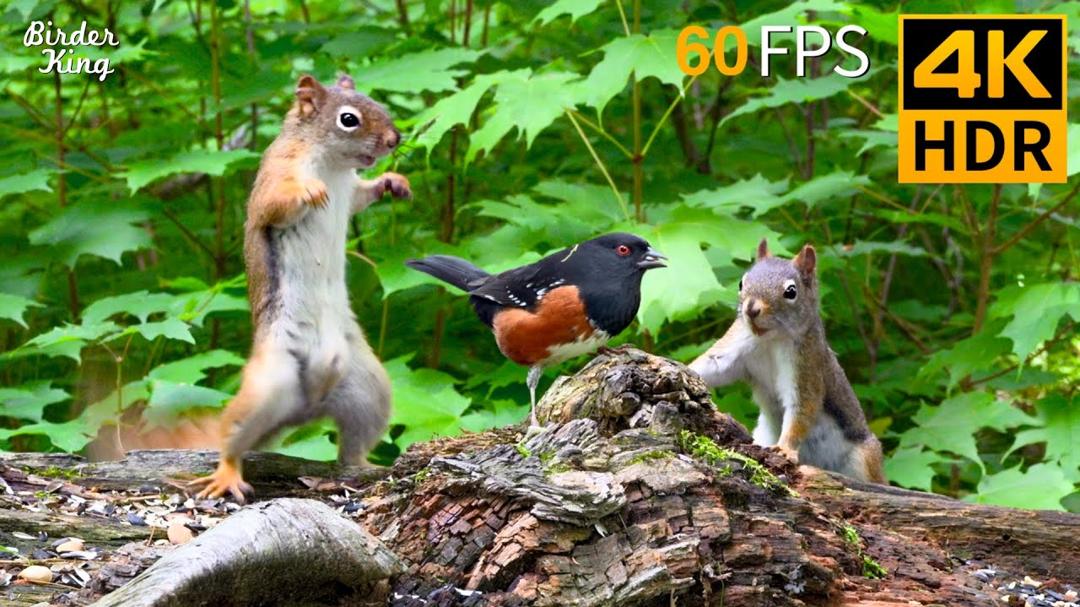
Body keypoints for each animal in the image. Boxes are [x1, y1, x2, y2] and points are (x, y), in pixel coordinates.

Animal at [188, 74, 411, 502]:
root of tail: (305, 408)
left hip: (368, 390)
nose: (395, 139)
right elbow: (273, 207)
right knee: (232, 438)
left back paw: (367, 467)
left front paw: (394, 182)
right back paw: (226, 474)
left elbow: (361, 198)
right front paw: (309, 193)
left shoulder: (351, 189)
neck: (332, 165)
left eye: (375, 102)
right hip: (269, 383)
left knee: (351, 448)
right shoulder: (278, 173)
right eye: (348, 119)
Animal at [688, 239, 885, 484]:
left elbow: (801, 408)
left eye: (791, 291)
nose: (751, 309)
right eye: (742, 283)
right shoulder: (736, 343)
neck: (771, 339)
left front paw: (784, 449)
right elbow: (712, 366)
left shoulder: (807, 365)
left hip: (864, 458)